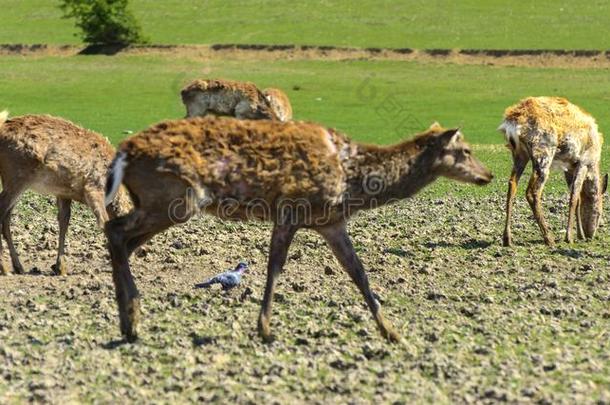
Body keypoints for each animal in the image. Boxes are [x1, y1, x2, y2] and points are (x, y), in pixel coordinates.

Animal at [0, 110, 132, 274]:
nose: (143, 250)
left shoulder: (64, 193)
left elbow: (64, 221)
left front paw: (60, 266)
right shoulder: (93, 188)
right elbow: (103, 222)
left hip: (14, 181)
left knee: (6, 217)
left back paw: (18, 266)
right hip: (17, 177)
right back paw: (4, 267)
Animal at [103, 116, 490, 340]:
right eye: (466, 150)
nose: (488, 175)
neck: (353, 184)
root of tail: (122, 153)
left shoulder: (330, 222)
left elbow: (358, 272)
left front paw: (392, 332)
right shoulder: (291, 207)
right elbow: (275, 266)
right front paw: (265, 328)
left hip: (158, 201)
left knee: (122, 239)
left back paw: (127, 318)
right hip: (174, 197)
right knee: (115, 230)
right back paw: (132, 320)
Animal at [498, 96, 604, 248]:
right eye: (599, 213)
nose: (591, 234)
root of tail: (511, 124)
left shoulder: (569, 166)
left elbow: (577, 199)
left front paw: (580, 235)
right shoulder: (583, 162)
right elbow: (574, 197)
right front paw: (570, 237)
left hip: (519, 154)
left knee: (512, 184)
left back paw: (507, 239)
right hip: (544, 154)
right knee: (532, 192)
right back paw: (549, 238)